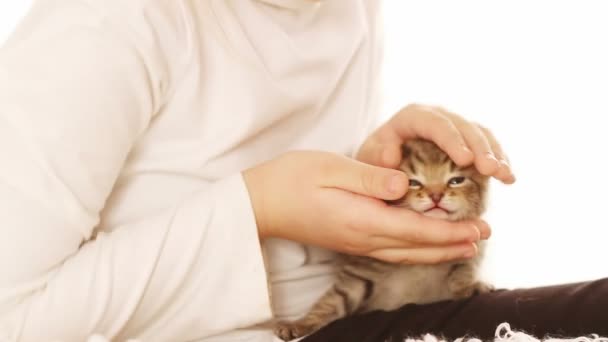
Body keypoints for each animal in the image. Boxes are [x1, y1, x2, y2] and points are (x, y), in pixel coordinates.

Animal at [276, 138, 494, 340]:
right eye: (413, 182)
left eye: (456, 180)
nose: (436, 196)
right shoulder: (362, 274)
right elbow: (332, 301)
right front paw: (299, 324)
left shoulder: (470, 253)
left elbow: (461, 273)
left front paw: (471, 287)